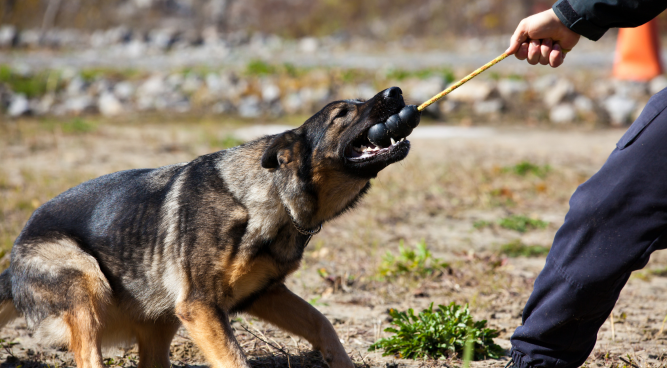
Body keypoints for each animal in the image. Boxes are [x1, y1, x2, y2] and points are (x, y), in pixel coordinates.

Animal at [1, 85, 418, 368]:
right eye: (343, 114)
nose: (396, 91)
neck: (264, 197)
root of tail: (13, 259)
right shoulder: (201, 307)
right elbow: (236, 359)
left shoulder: (265, 294)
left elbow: (322, 323)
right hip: (88, 281)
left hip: (160, 320)